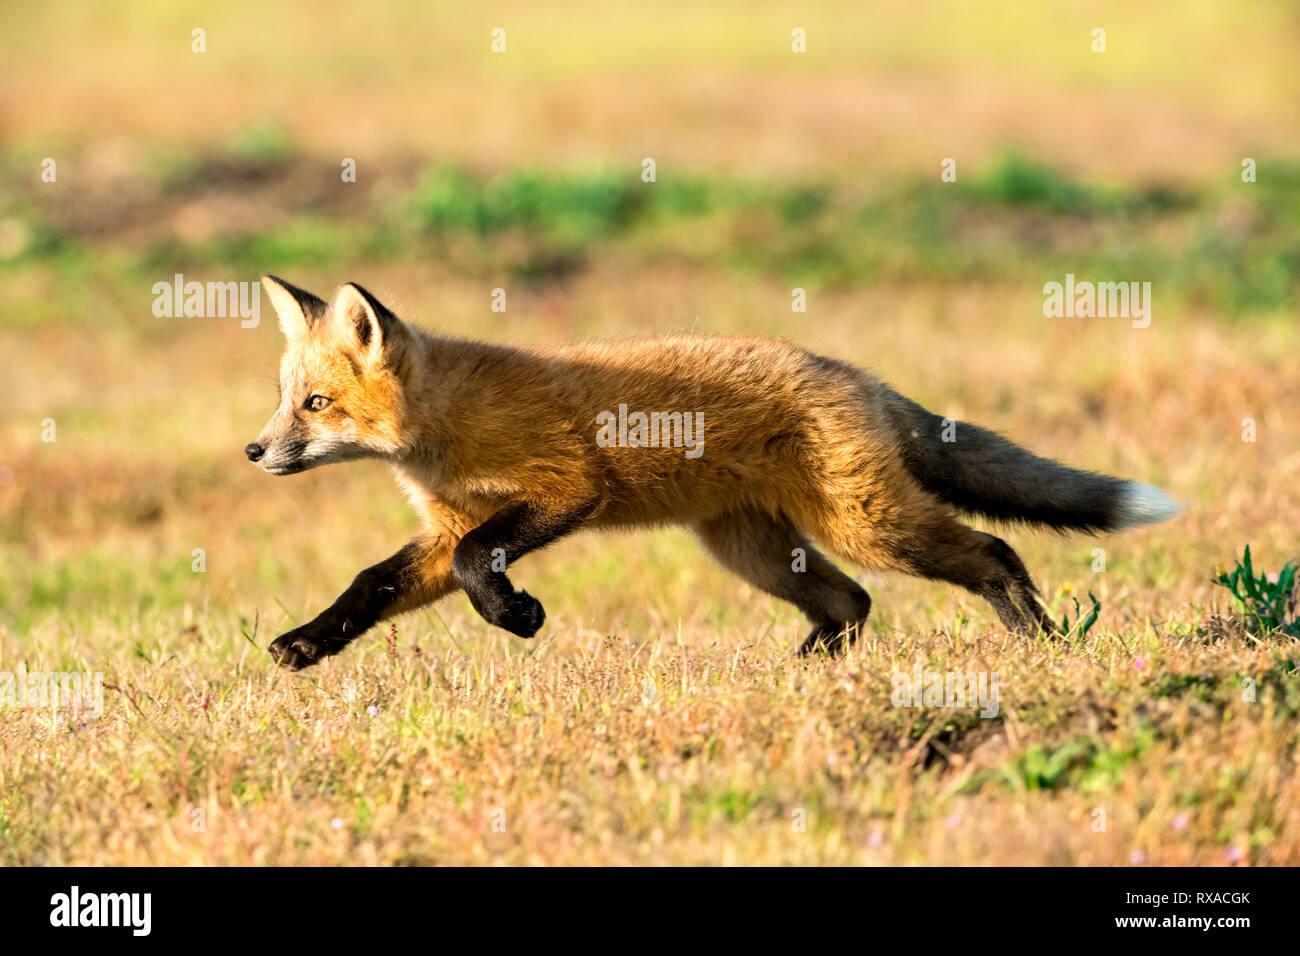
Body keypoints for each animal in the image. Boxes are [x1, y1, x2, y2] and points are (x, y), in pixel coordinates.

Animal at [248, 273, 1185, 671]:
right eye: (287, 398)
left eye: (317, 405)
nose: (255, 453)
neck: (449, 430)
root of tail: (858, 375)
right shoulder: (445, 531)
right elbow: (370, 584)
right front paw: (306, 644)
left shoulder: (563, 488)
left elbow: (487, 564)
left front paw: (519, 617)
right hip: (752, 550)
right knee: (851, 602)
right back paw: (799, 676)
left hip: (868, 523)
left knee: (992, 553)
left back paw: (1042, 643)